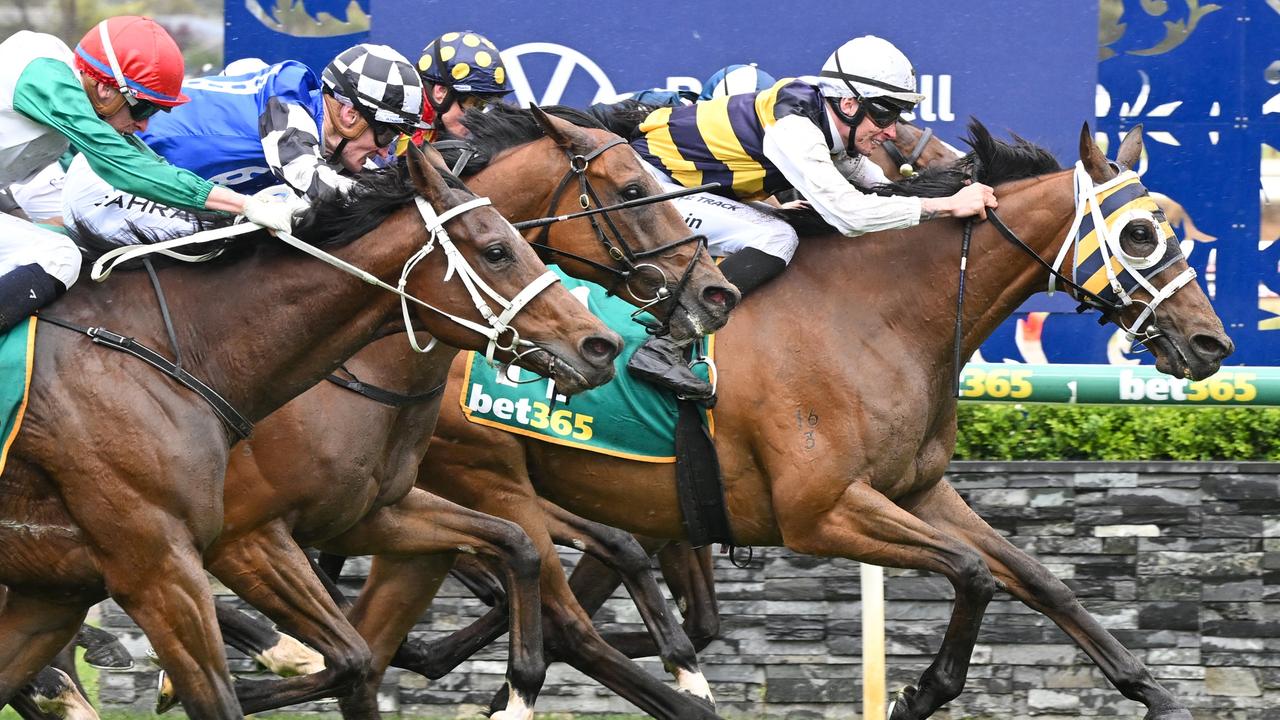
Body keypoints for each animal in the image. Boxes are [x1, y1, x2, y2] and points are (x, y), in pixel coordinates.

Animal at [0, 141, 619, 717]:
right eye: (496, 252)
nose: (602, 345)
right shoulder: (179, 562)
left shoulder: (366, 513)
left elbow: (513, 546)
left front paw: (519, 690)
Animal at [348, 120, 1228, 712]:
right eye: (1139, 232)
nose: (1211, 342)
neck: (876, 316)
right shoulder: (821, 512)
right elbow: (973, 573)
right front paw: (919, 691)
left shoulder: (918, 492)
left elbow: (1041, 580)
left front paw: (1154, 691)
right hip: (488, 475)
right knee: (558, 611)